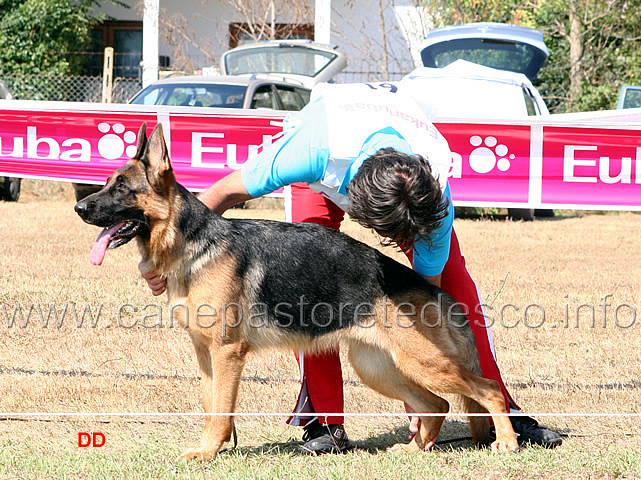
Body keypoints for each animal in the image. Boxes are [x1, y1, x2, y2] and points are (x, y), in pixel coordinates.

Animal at [74, 124, 516, 462]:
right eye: (107, 184)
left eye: (122, 188)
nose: (80, 209)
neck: (193, 242)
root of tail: (435, 292)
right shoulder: (204, 354)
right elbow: (210, 407)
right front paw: (208, 450)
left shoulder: (227, 353)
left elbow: (221, 412)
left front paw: (207, 453)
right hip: (379, 367)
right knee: (436, 405)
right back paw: (413, 450)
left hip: (424, 364)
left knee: (488, 390)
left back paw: (508, 444)